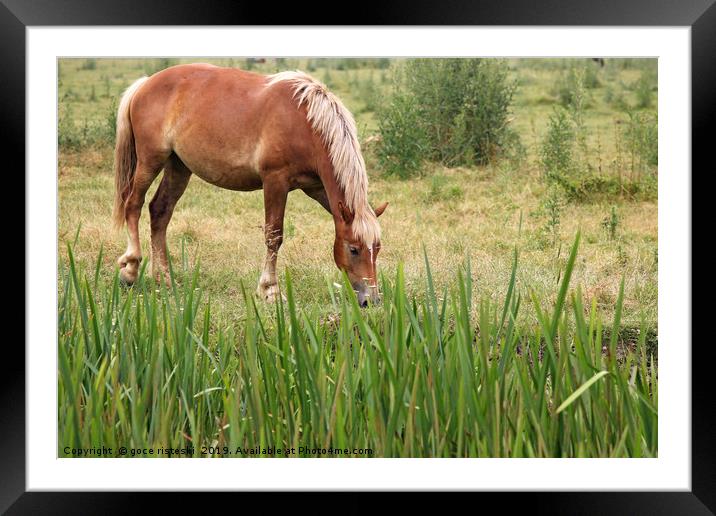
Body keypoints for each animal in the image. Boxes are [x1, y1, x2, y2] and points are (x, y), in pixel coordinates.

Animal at [113, 64, 386, 306]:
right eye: (353, 249)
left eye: (377, 248)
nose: (371, 300)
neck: (305, 121)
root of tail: (145, 83)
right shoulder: (275, 181)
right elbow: (274, 236)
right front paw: (270, 290)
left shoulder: (318, 188)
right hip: (150, 160)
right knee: (133, 204)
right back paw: (131, 270)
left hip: (178, 166)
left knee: (160, 211)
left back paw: (164, 279)